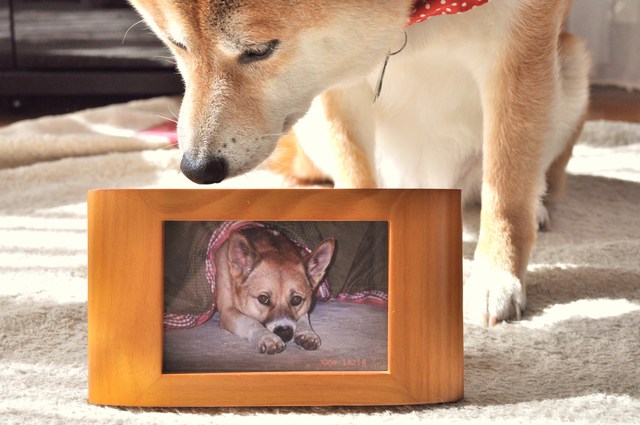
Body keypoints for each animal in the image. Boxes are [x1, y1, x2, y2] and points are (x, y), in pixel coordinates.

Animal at [129, 0, 592, 324]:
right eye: (176, 43)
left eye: (259, 51)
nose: (196, 167)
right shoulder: (336, 76)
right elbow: (354, 173)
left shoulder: (519, 50)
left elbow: (507, 191)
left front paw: (497, 277)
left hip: (571, 67)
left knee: (538, 175)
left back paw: (540, 208)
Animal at [215, 225, 336, 354]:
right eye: (263, 299)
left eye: (296, 300)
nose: (285, 334)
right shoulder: (227, 311)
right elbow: (251, 321)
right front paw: (266, 336)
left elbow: (304, 316)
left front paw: (307, 332)